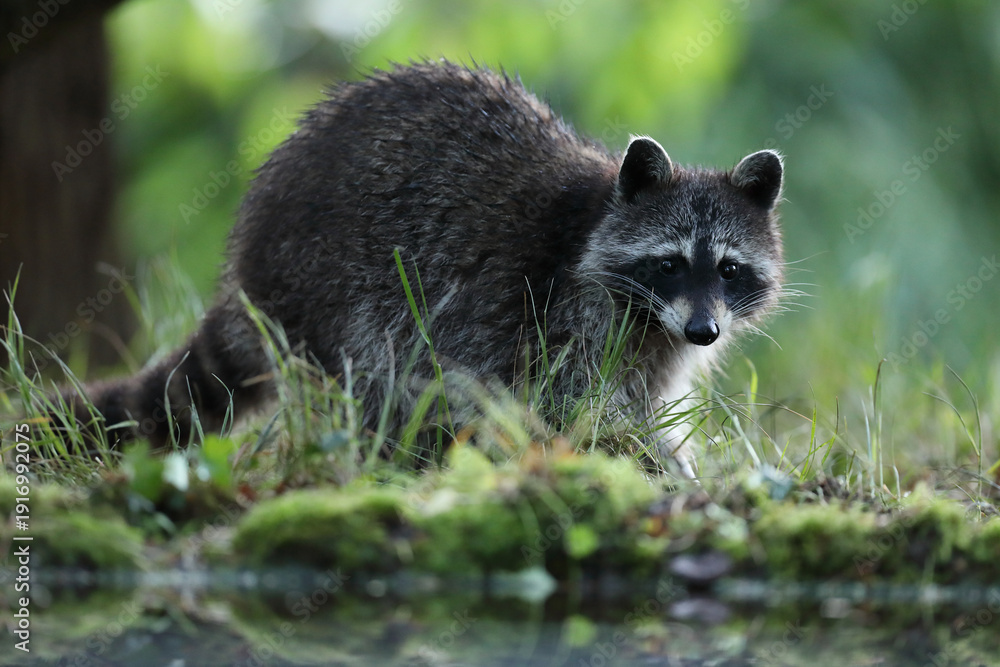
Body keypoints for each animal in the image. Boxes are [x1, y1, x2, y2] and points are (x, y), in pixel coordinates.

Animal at [62, 61, 784, 478]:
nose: (704, 332)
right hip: (340, 285)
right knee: (383, 379)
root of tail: (250, 261)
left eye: (728, 269)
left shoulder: (653, 342)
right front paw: (652, 462)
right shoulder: (567, 311)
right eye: (669, 264)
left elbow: (642, 399)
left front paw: (673, 458)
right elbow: (574, 402)